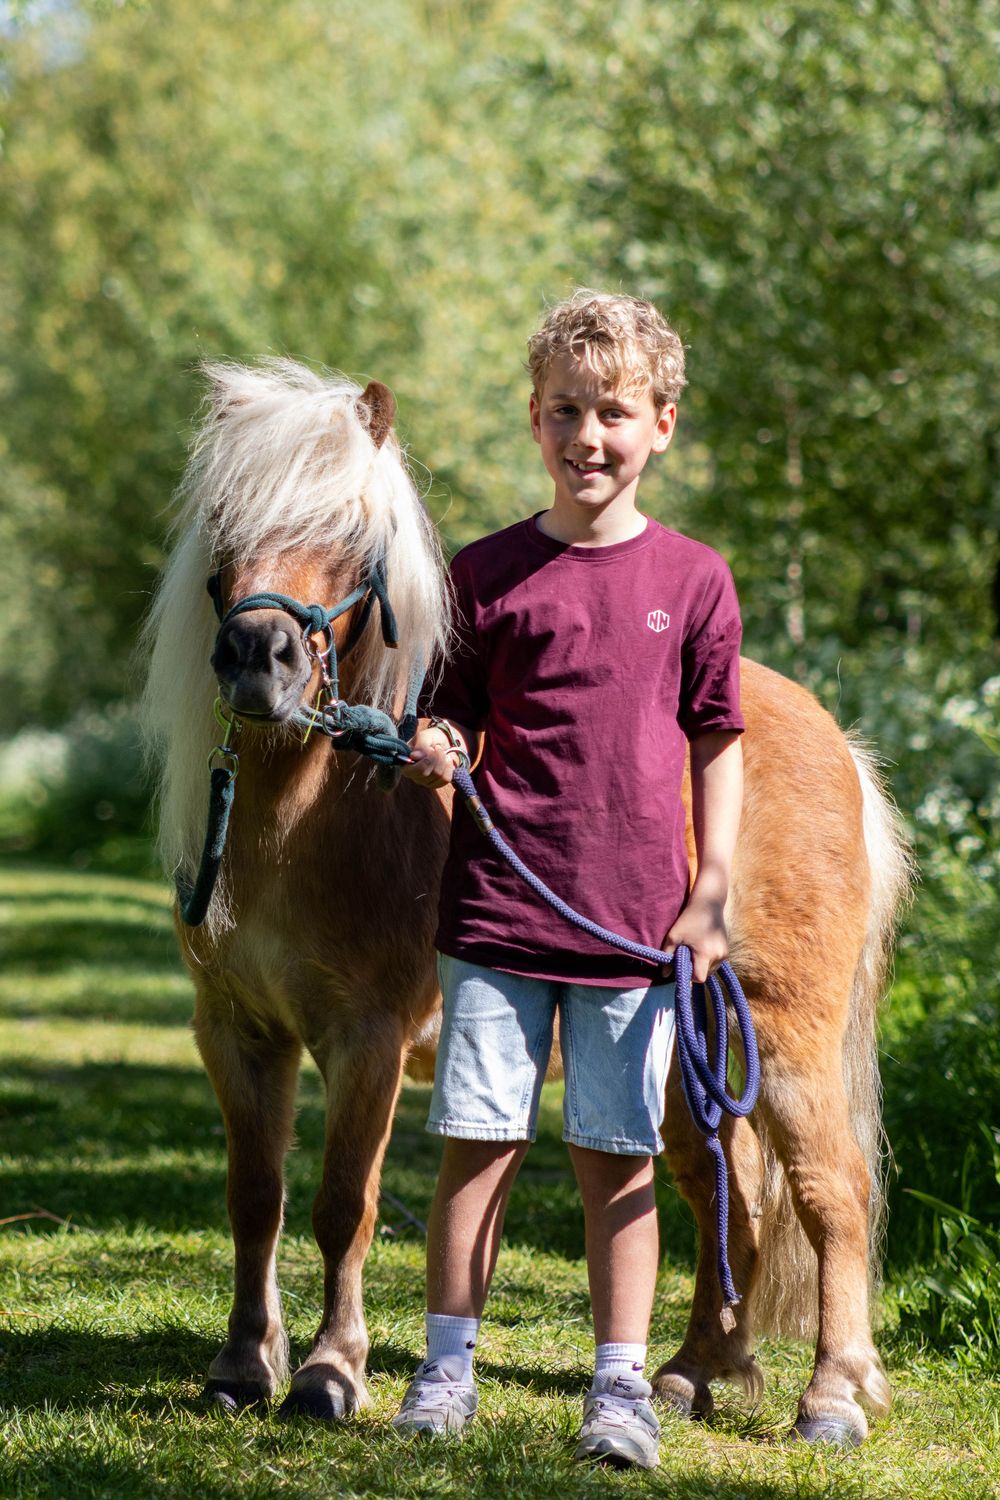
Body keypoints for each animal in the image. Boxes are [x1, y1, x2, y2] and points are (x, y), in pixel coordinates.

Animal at [140, 358, 911, 1445]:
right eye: (224, 521)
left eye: (353, 535)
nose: (259, 658)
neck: (315, 822)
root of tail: (832, 740)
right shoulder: (237, 1033)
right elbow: (257, 1199)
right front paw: (245, 1365)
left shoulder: (366, 1040)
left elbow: (343, 1204)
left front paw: (330, 1374)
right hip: (686, 1059)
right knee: (725, 1187)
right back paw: (694, 1371)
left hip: (788, 1038)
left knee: (828, 1191)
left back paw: (833, 1394)